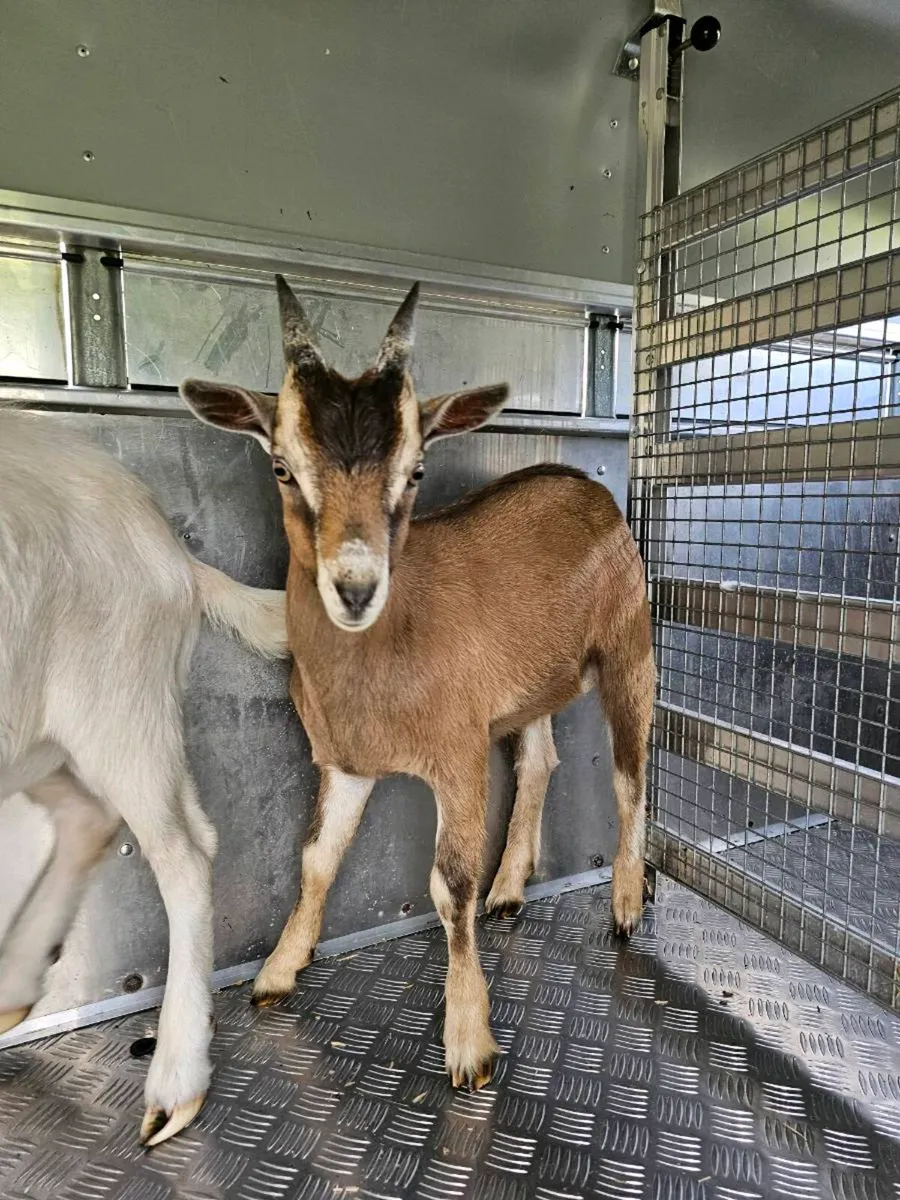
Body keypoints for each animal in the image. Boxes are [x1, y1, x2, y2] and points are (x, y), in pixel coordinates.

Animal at [0, 410, 288, 1144]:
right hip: (43, 737)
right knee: (94, 819)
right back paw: (14, 984)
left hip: (117, 702)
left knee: (182, 851)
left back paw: (177, 1078)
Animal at [181, 277, 655, 1089]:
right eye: (282, 467)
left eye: (417, 472)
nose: (355, 586)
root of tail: (588, 488)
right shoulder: (344, 760)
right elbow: (314, 860)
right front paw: (276, 972)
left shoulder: (458, 755)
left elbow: (447, 886)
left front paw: (469, 1043)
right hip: (531, 685)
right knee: (541, 760)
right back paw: (510, 887)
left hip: (630, 645)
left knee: (630, 774)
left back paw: (624, 905)